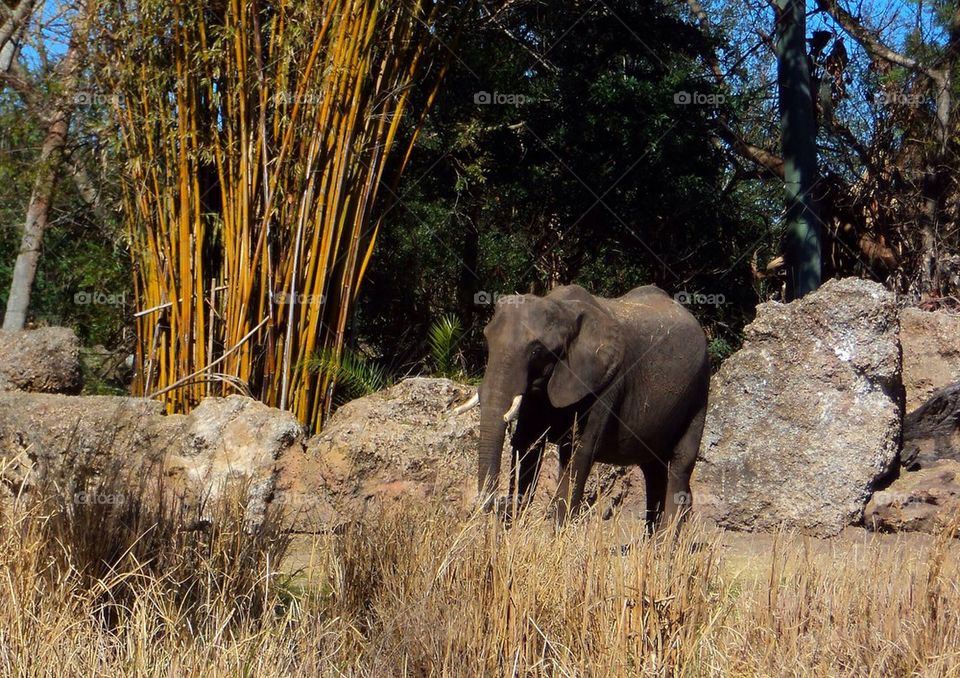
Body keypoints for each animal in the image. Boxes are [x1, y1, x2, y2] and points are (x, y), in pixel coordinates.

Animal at [462, 284, 709, 529]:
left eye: (536, 351)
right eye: (487, 341)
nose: (496, 505)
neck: (563, 309)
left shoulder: (605, 385)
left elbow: (577, 454)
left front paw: (558, 536)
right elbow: (528, 445)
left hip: (698, 392)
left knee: (679, 465)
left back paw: (665, 539)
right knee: (653, 471)